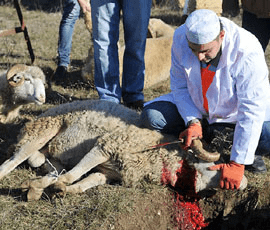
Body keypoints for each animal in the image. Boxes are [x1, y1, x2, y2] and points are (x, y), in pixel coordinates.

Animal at [0, 99, 247, 200]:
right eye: (213, 165)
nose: (242, 183)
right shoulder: (105, 145)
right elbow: (74, 174)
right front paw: (51, 186)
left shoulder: (108, 173)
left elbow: (84, 182)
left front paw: (59, 189)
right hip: (41, 131)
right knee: (12, 162)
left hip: (50, 150)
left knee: (48, 165)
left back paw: (40, 182)